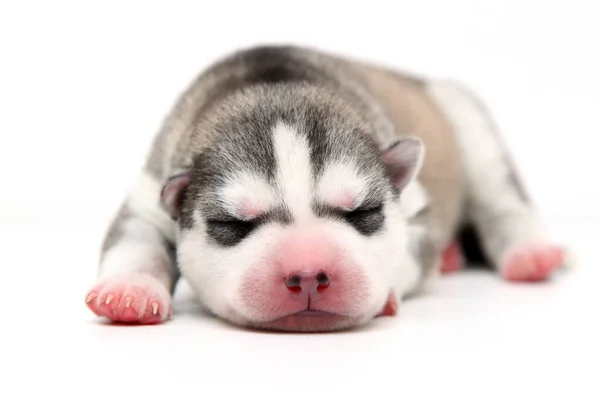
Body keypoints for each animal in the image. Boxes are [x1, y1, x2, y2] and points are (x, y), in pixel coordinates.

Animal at [83, 44, 568, 332]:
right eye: (234, 223)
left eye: (362, 214)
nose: (308, 274)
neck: (273, 86)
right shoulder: (152, 190)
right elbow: (135, 239)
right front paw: (128, 292)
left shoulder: (416, 208)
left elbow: (412, 249)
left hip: (468, 120)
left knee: (503, 199)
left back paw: (529, 255)